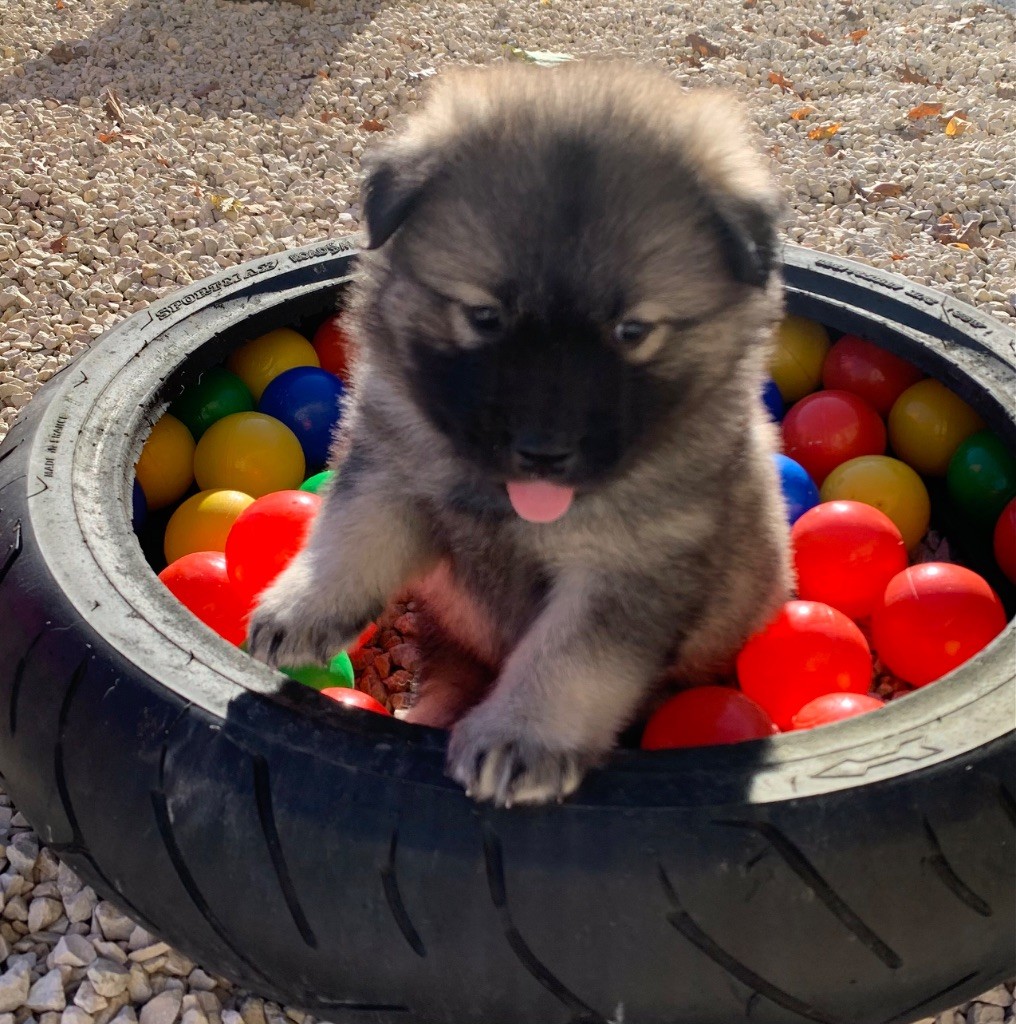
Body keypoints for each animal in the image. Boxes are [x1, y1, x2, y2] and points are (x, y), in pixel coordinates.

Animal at [245, 59, 794, 806]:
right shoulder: (392, 470)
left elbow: (570, 659)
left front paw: (521, 738)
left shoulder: (630, 567)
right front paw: (300, 606)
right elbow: (349, 537)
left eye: (632, 331)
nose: (543, 453)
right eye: (484, 317)